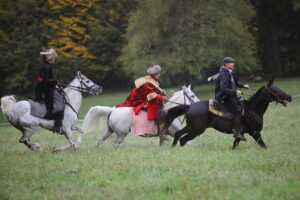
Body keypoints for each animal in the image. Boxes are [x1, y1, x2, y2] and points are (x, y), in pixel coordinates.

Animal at [161, 79, 292, 148]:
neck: (252, 110)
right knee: (179, 135)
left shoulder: (243, 134)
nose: (289, 97)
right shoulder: (255, 133)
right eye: (275, 90)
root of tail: (189, 106)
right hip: (195, 128)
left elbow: (236, 144)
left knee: (182, 138)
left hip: (195, 130)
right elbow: (263, 145)